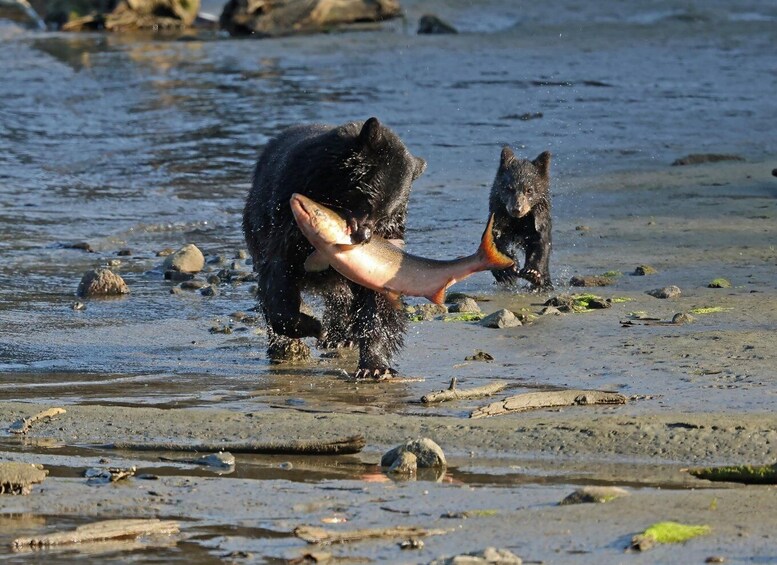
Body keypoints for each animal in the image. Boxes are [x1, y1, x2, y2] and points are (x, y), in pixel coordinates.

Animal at [243, 117, 426, 378]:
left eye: (385, 216)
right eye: (367, 200)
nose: (363, 238)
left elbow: (377, 296)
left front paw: (375, 365)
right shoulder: (286, 217)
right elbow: (278, 274)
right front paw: (312, 326)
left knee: (340, 295)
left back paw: (340, 336)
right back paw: (287, 346)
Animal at [488, 147, 553, 290]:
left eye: (529, 190)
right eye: (509, 188)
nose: (517, 209)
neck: (519, 221)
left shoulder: (538, 221)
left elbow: (541, 243)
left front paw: (532, 273)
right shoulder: (499, 218)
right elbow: (495, 239)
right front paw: (508, 270)